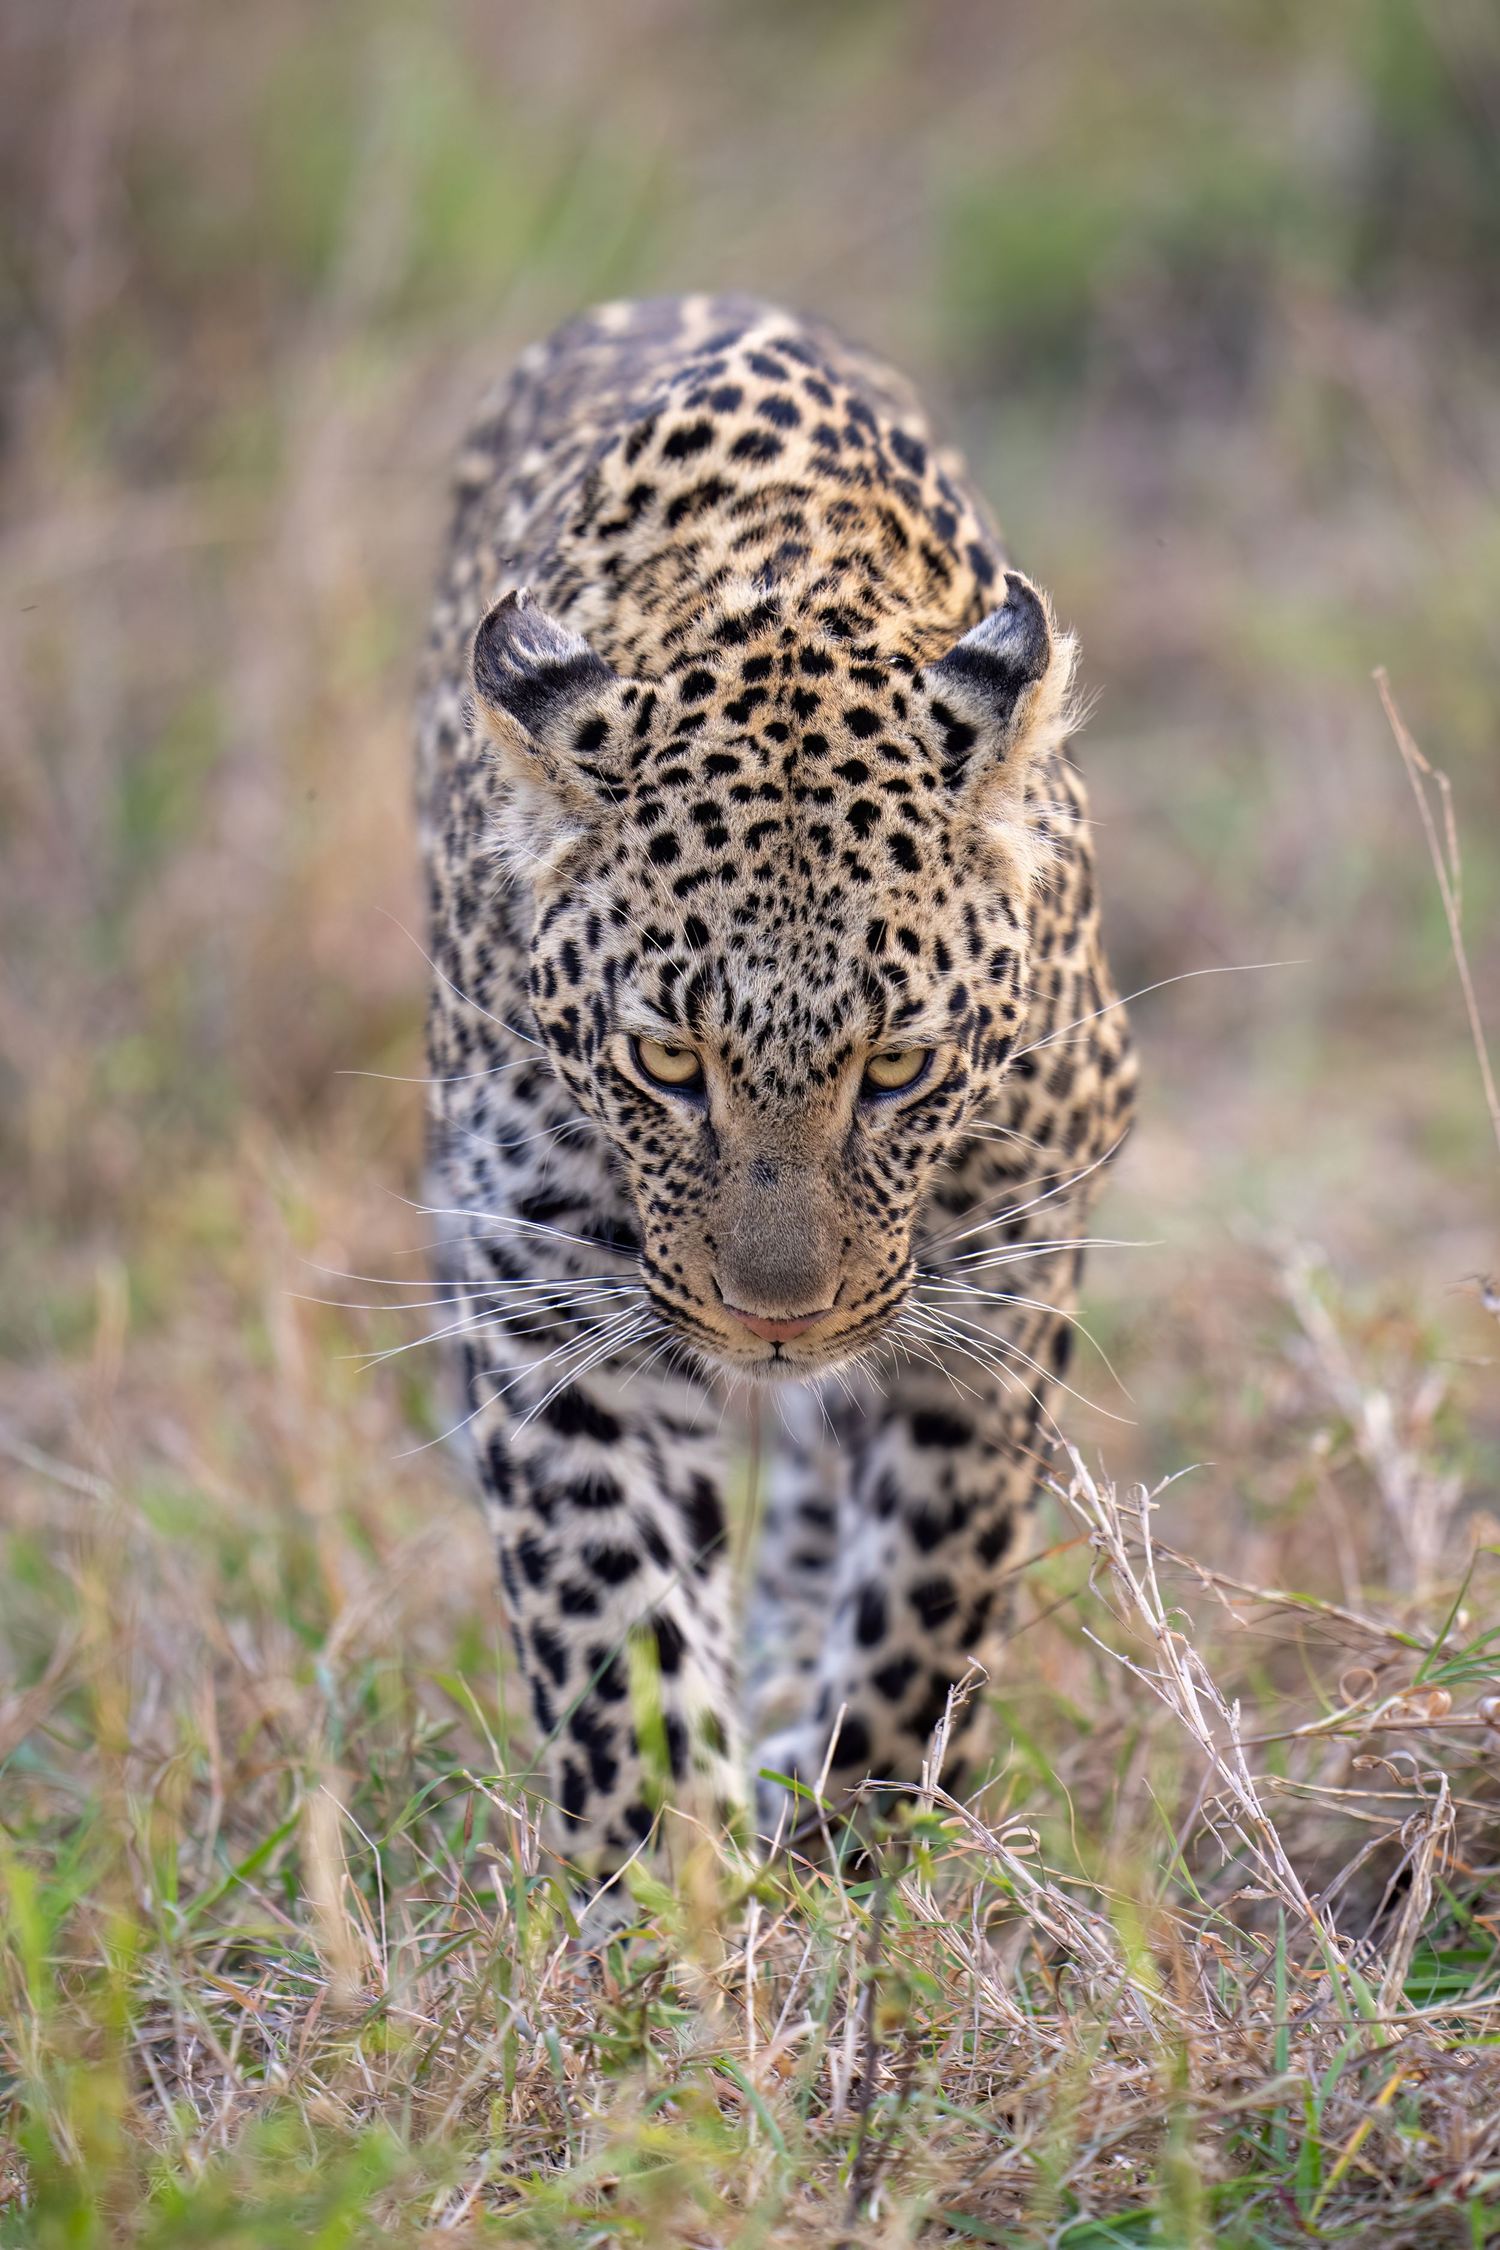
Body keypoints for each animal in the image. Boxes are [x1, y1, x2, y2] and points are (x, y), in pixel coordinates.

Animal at [415, 292, 1136, 1897]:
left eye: (900, 1066)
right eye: (669, 1064)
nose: (776, 1322)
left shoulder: (1000, 1287)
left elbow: (928, 1599)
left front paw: (851, 1847)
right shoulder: (551, 1306)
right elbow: (617, 1643)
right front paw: (670, 1910)